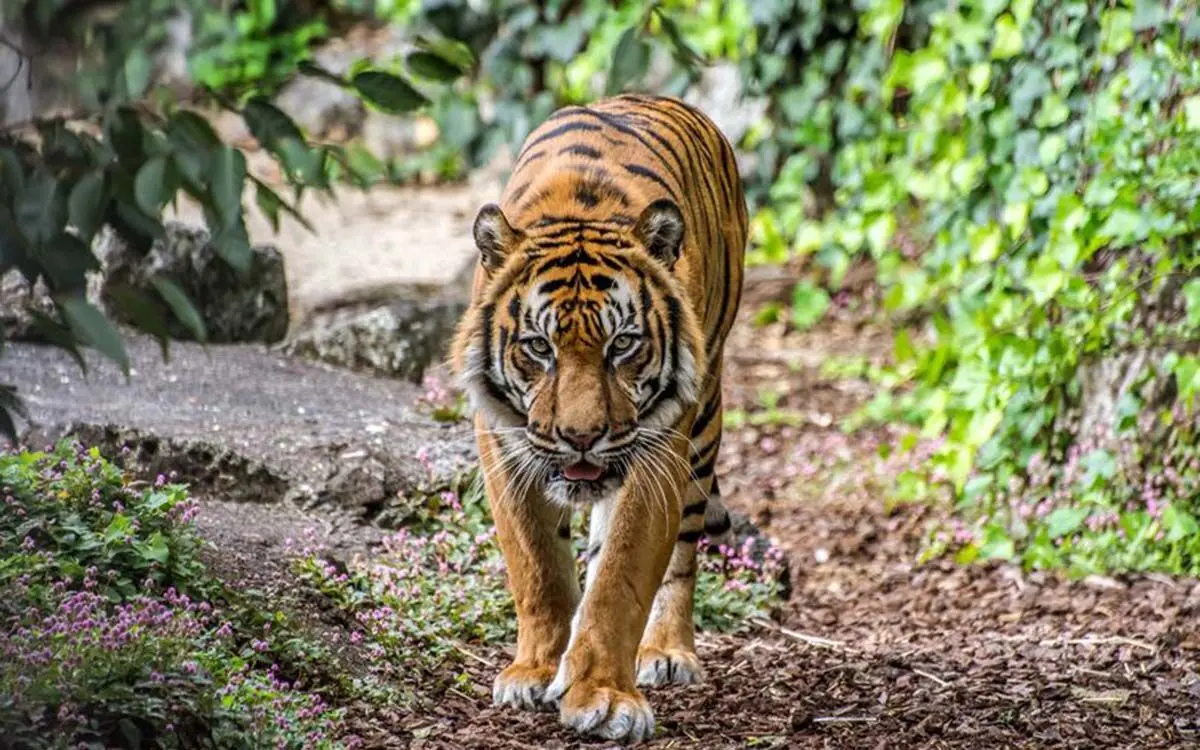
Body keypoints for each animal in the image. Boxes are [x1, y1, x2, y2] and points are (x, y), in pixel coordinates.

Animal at [451, 93, 746, 743]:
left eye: (623, 344)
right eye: (539, 347)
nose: (581, 438)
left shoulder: (660, 447)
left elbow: (622, 577)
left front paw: (605, 697)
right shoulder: (502, 440)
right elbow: (537, 566)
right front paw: (535, 671)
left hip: (703, 426)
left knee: (681, 555)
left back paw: (667, 651)